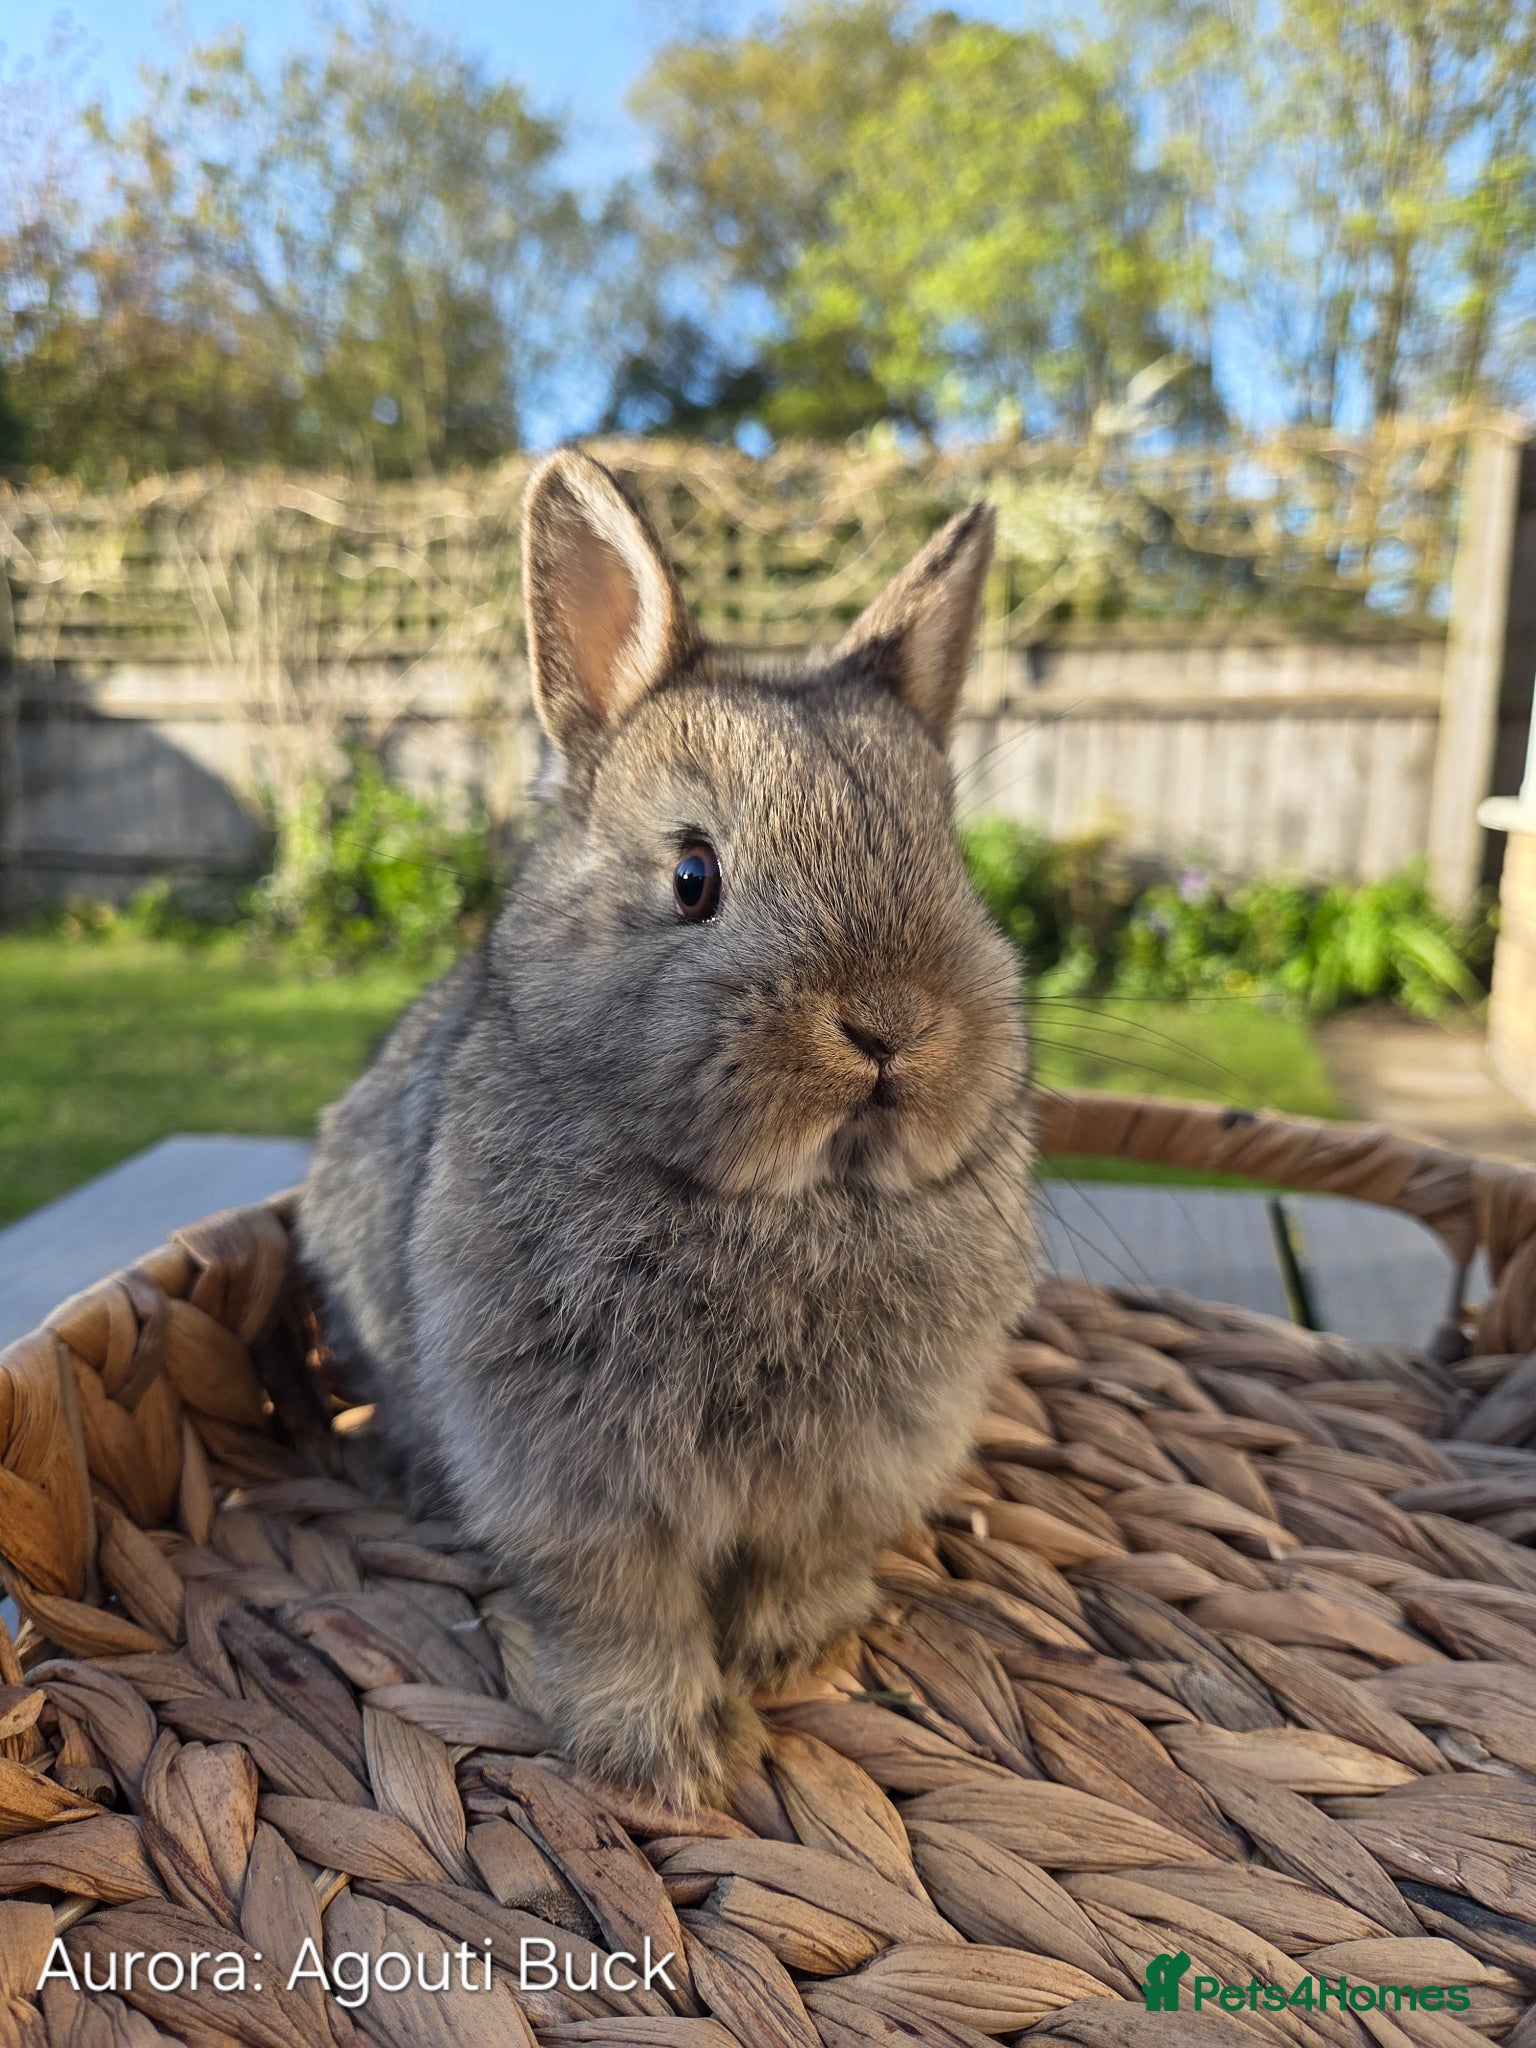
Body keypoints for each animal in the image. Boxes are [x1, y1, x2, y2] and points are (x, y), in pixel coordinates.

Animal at [299, 450, 1035, 1810]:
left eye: (952, 865)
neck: (787, 1205)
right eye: (695, 877)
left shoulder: (850, 1476)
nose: (893, 1024)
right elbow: (622, 1609)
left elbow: (804, 1566)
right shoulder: (577, 1480)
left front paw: (790, 1653)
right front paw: (667, 1755)